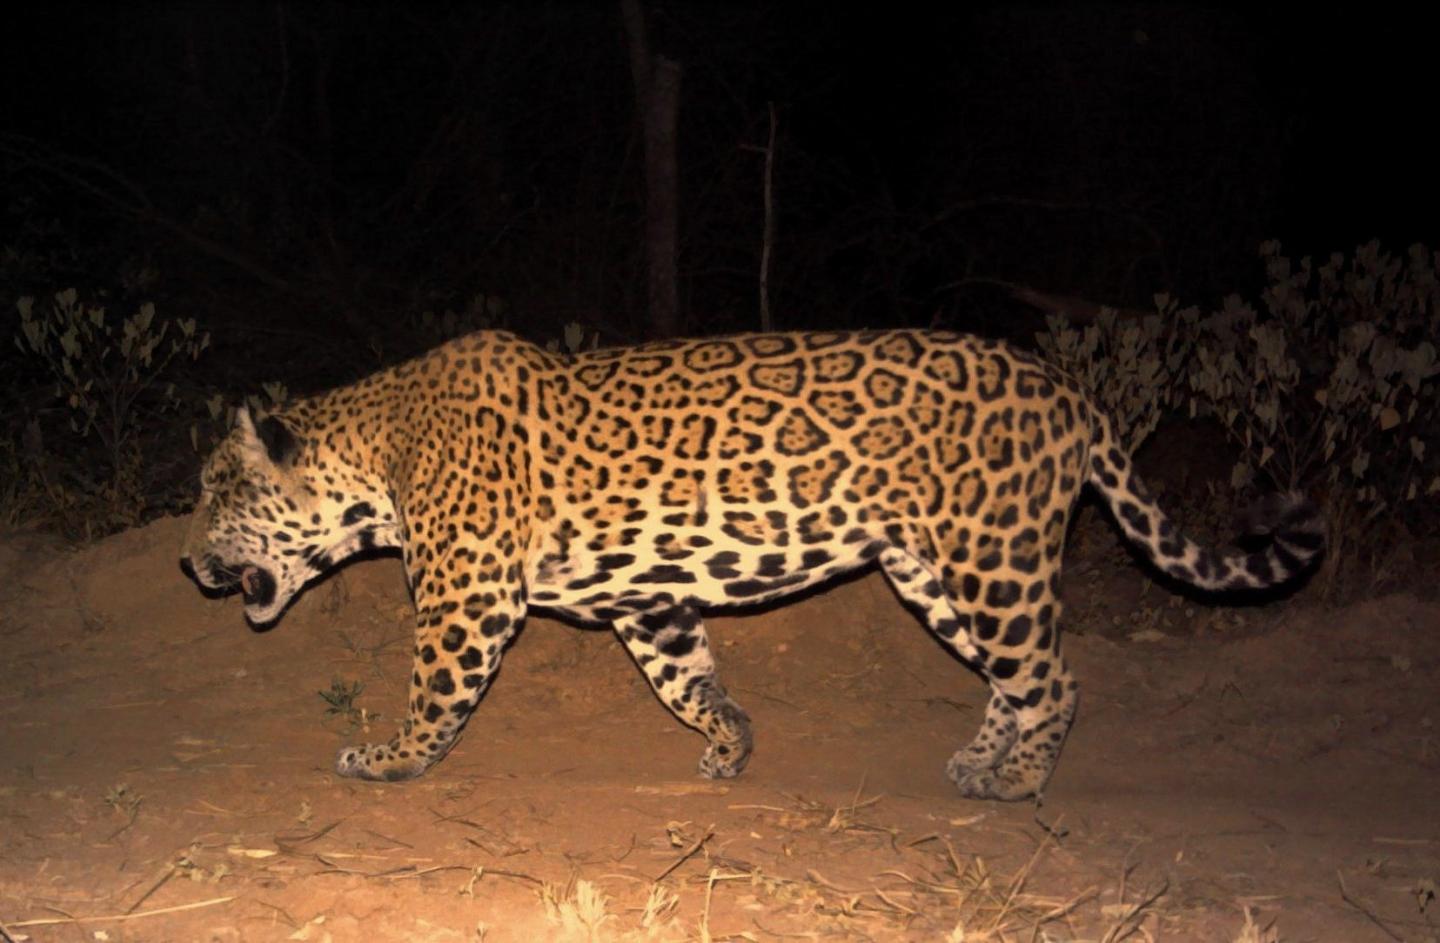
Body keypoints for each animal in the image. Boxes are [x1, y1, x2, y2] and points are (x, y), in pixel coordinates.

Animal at [181, 329, 1323, 801]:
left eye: (217, 491)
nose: (189, 562)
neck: (378, 453)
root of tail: (1070, 390)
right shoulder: (646, 598)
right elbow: (689, 681)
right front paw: (732, 747)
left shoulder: (469, 597)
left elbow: (434, 692)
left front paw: (389, 760)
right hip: (937, 572)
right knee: (1014, 677)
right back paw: (976, 763)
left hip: (994, 560)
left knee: (1057, 679)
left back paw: (1020, 783)